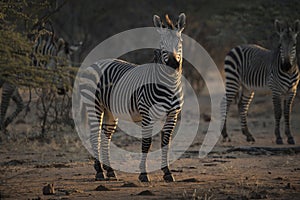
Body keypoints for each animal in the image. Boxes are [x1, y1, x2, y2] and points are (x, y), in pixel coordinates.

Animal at [78, 12, 185, 183]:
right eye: (162, 43)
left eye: (179, 41)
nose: (173, 64)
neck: (169, 84)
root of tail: (95, 63)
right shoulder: (147, 115)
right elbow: (146, 143)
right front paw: (143, 174)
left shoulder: (172, 115)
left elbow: (165, 143)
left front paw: (167, 172)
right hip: (93, 105)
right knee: (95, 137)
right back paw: (99, 171)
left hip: (110, 111)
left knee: (106, 136)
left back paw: (109, 171)